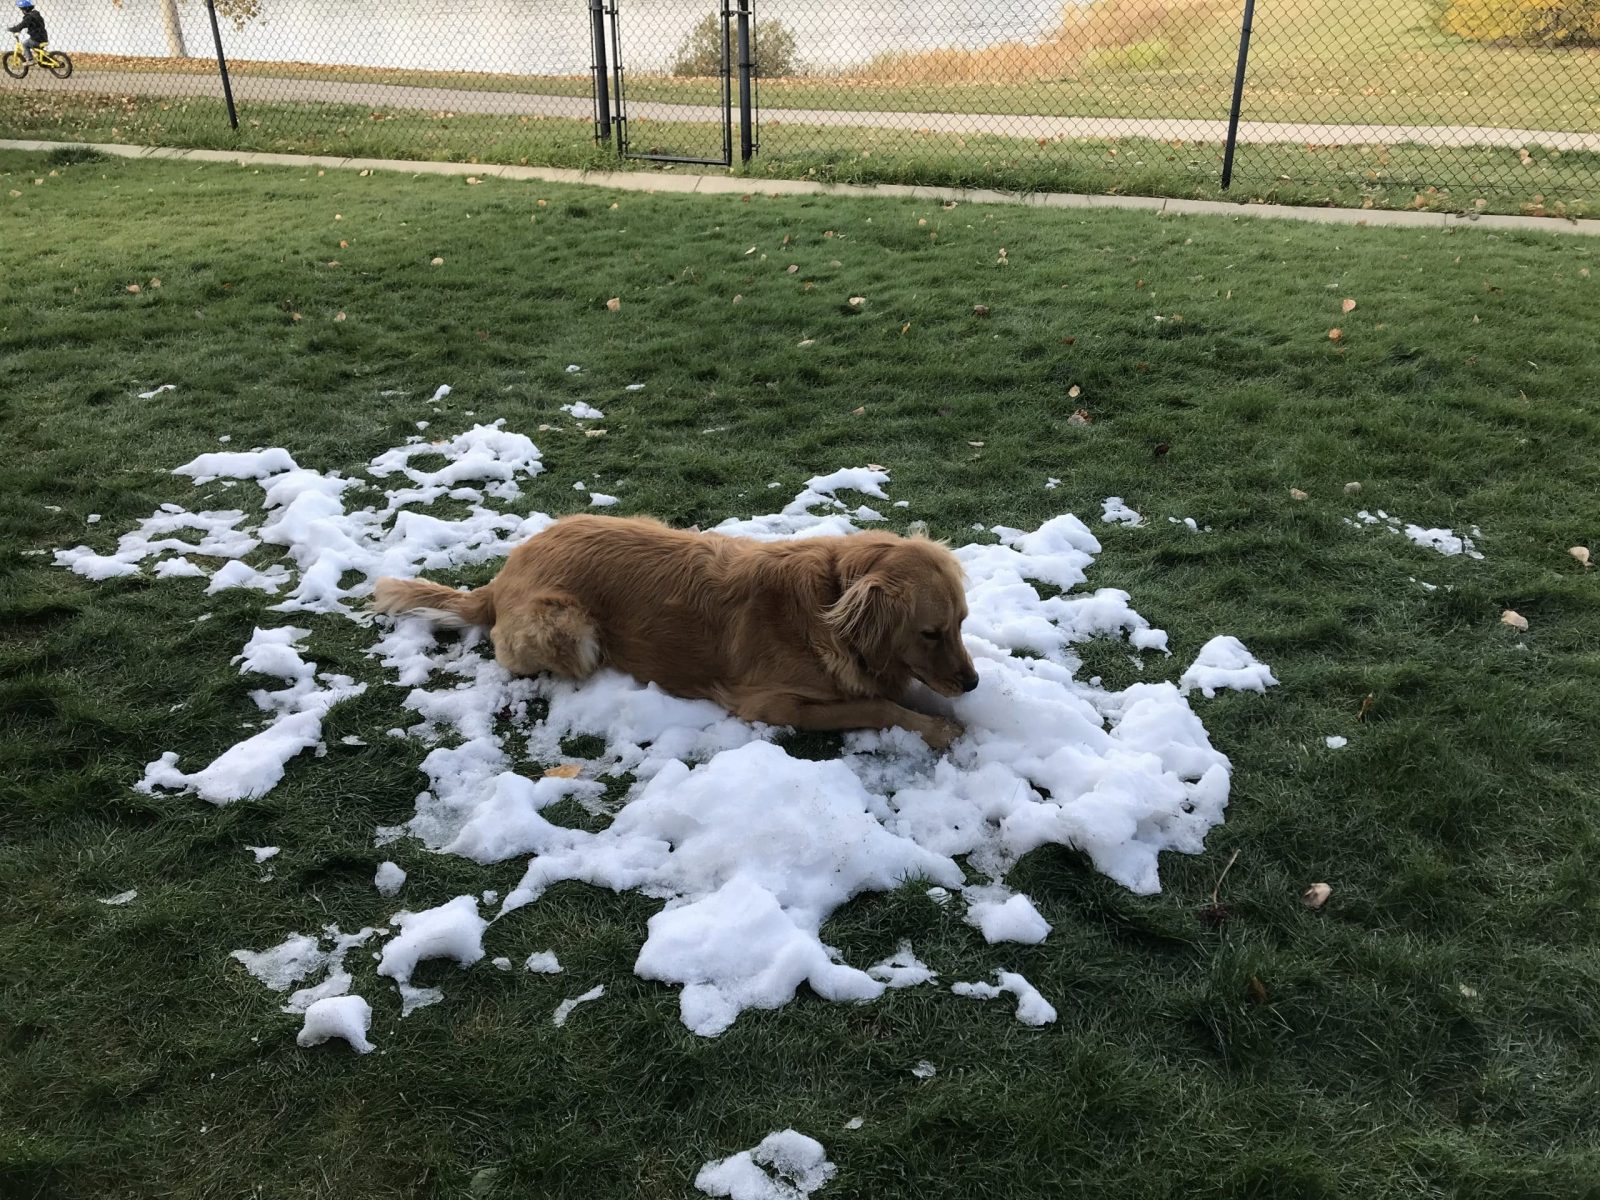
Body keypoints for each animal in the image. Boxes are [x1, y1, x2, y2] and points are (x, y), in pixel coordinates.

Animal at [369, 518, 979, 752]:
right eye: (930, 632)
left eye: (961, 624)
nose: (973, 684)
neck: (829, 600)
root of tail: (500, 578)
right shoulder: (769, 705)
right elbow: (875, 705)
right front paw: (938, 729)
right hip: (568, 628)